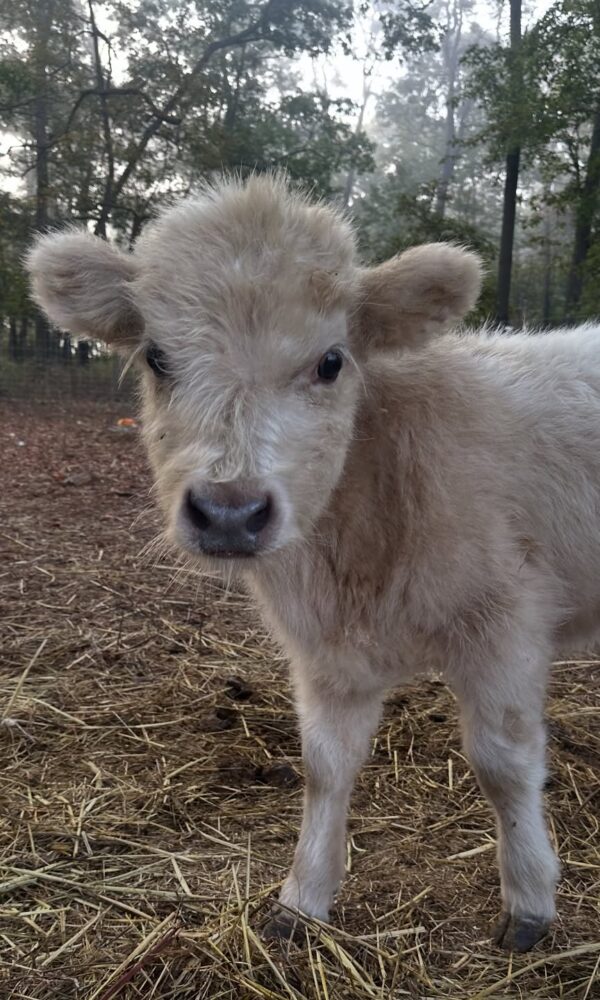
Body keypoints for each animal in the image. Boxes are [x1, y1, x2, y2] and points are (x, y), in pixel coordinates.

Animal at [28, 174, 599, 952]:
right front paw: (302, 901)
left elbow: (504, 767)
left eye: (331, 361)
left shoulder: (505, 622)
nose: (229, 512)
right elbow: (325, 768)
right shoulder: (326, 650)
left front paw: (531, 905)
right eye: (156, 358)